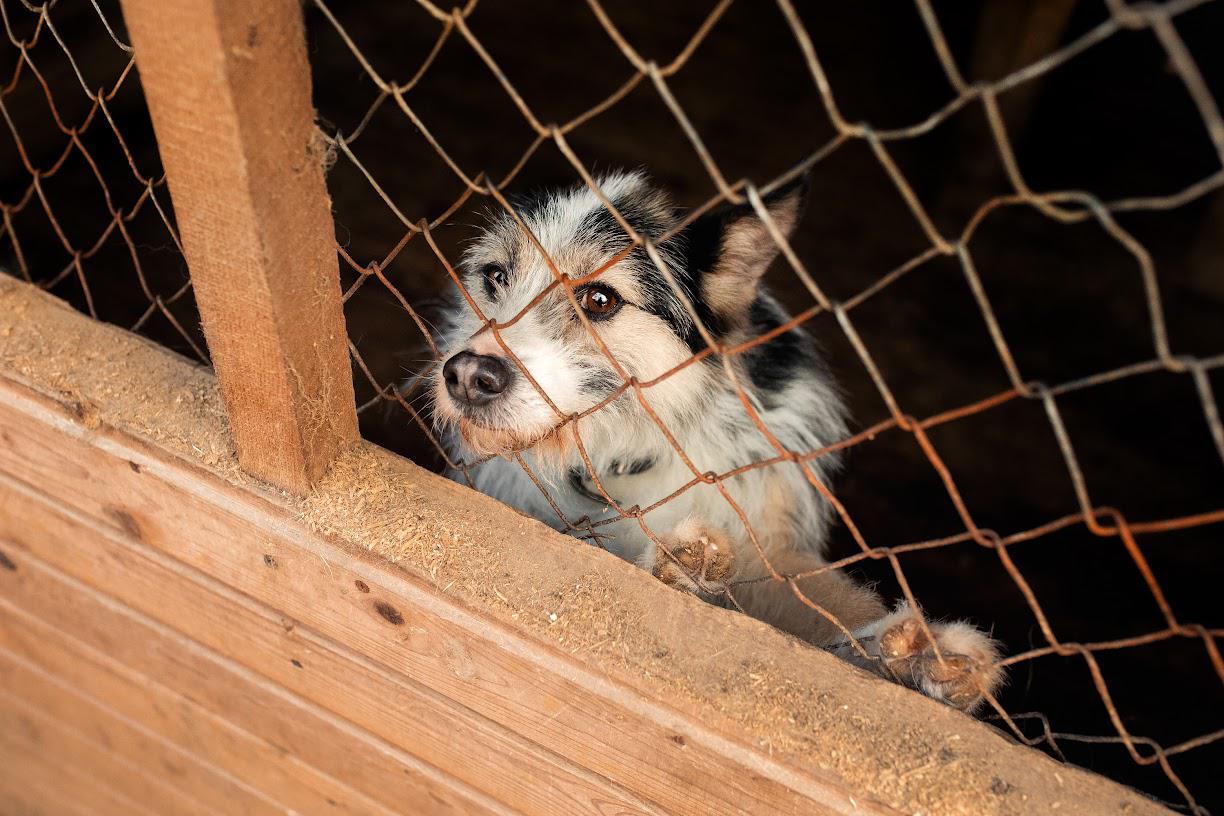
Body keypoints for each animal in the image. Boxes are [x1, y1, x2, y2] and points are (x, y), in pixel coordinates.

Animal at [430, 171, 1003, 709]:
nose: (467, 376)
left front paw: (921, 656)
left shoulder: (772, 544)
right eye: (496, 275)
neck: (628, 456)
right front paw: (681, 568)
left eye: (599, 298)